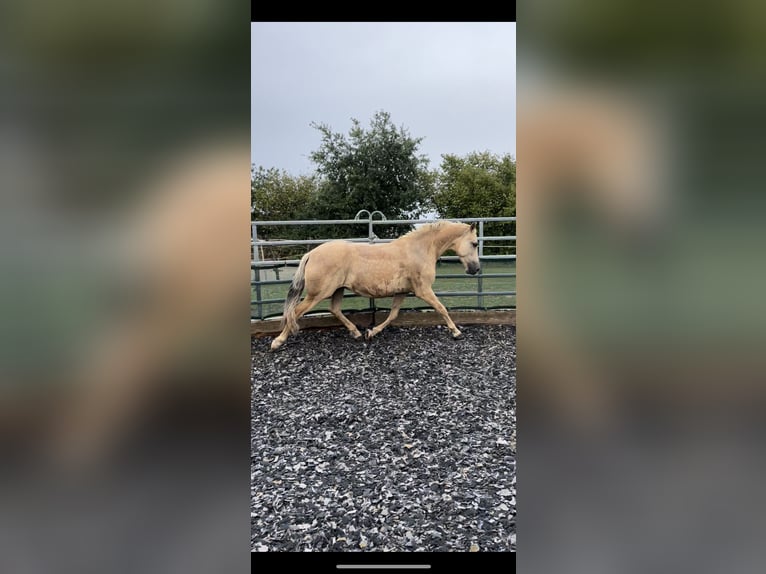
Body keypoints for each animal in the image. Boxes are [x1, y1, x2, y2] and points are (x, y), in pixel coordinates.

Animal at [269, 221, 481, 350]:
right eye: (475, 243)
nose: (476, 269)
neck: (419, 250)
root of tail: (311, 253)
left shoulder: (402, 291)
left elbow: (393, 315)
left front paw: (371, 332)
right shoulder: (423, 290)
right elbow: (441, 308)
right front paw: (456, 332)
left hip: (337, 290)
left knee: (334, 309)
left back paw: (356, 333)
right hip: (318, 294)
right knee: (295, 312)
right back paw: (277, 342)